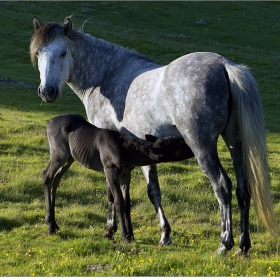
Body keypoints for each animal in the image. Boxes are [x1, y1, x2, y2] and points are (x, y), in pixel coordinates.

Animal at [42, 114, 195, 243]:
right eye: (180, 145)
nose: (192, 147)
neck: (128, 151)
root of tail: (48, 123)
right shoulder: (110, 168)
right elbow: (118, 200)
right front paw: (124, 236)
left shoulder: (126, 172)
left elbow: (127, 202)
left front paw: (131, 235)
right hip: (58, 152)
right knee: (46, 175)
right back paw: (50, 226)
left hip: (70, 157)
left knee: (56, 179)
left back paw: (55, 224)